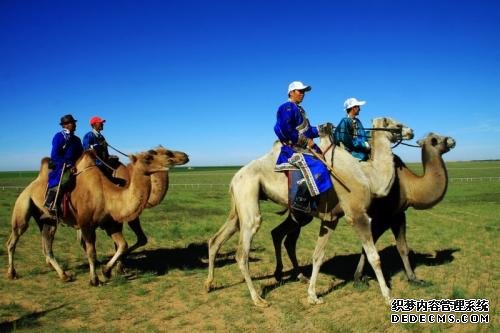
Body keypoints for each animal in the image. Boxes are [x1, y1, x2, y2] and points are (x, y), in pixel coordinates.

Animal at [6, 148, 188, 286]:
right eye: (150, 156)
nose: (184, 156)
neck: (109, 195)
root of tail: (31, 185)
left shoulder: (111, 224)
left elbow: (122, 245)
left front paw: (107, 271)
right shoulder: (86, 224)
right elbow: (92, 251)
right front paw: (95, 279)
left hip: (48, 219)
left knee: (47, 245)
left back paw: (63, 274)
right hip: (23, 206)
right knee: (14, 239)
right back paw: (12, 273)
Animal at [205, 116, 412, 306]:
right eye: (396, 124)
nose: (411, 131)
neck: (368, 177)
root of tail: (234, 178)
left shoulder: (331, 219)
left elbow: (318, 256)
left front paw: (313, 296)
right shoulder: (357, 215)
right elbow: (374, 257)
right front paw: (388, 296)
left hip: (240, 206)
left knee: (216, 240)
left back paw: (209, 284)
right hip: (249, 197)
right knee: (242, 252)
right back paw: (258, 299)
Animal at [272, 132, 456, 286]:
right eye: (436, 139)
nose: (452, 140)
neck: (409, 186)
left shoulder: (397, 214)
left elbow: (401, 248)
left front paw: (413, 278)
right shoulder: (384, 216)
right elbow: (380, 247)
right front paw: (359, 278)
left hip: (301, 215)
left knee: (283, 236)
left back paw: (293, 275)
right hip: (302, 213)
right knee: (285, 237)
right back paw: (287, 275)